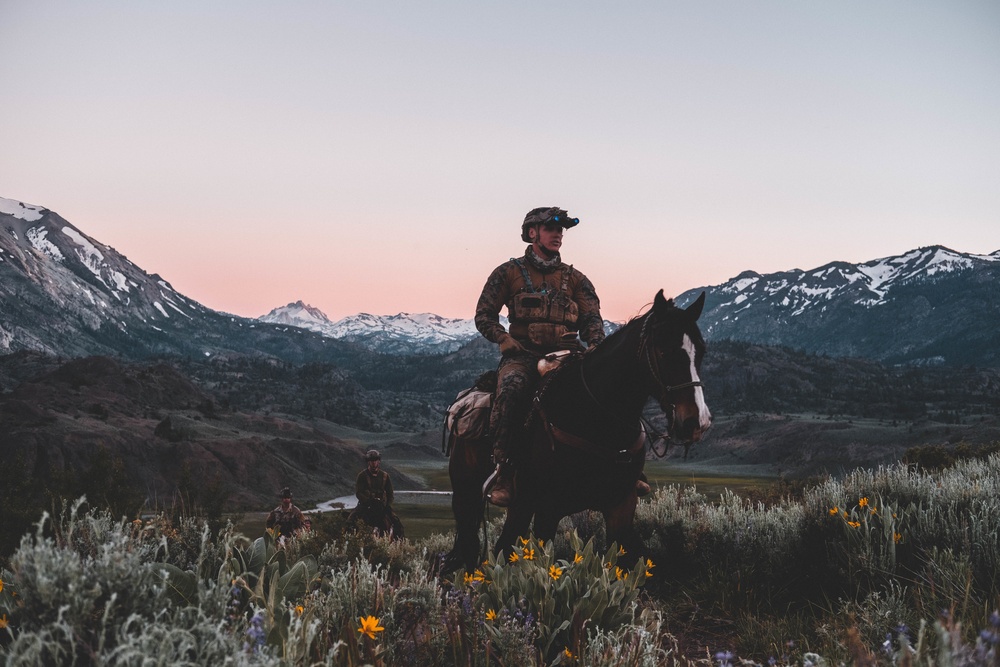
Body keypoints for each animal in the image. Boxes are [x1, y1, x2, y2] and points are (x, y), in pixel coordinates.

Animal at [444, 288, 712, 576]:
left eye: (701, 351)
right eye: (664, 351)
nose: (697, 422)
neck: (596, 418)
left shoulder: (621, 505)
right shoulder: (548, 508)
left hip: (520, 504)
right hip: (468, 493)